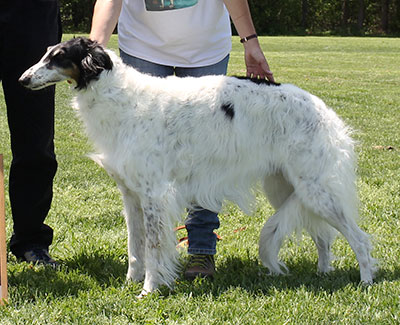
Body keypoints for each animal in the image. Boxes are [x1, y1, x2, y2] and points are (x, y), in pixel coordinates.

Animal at [18, 36, 376, 294]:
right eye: (46, 53)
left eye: (58, 57)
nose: (22, 79)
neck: (119, 96)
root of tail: (321, 107)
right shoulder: (131, 195)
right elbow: (135, 247)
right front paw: (130, 283)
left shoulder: (154, 194)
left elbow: (152, 248)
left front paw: (149, 289)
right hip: (289, 188)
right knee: (324, 237)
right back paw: (323, 272)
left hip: (314, 188)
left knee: (359, 238)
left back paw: (366, 279)